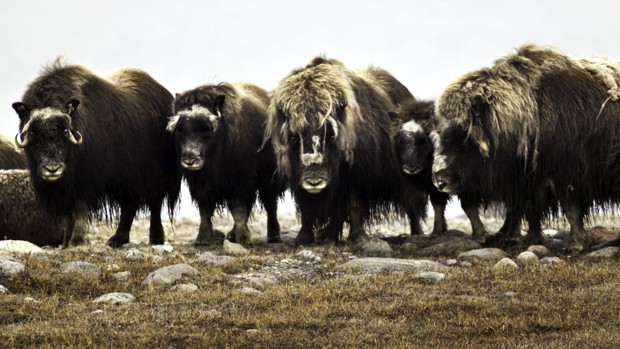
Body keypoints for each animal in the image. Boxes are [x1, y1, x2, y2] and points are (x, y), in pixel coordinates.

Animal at [12, 61, 179, 249]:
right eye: (33, 133)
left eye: (64, 131)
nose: (52, 169)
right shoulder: (68, 186)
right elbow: (69, 214)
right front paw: (65, 242)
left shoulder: (85, 179)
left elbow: (79, 209)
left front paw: (77, 241)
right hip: (128, 181)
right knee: (129, 206)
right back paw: (116, 240)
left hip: (155, 176)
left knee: (154, 203)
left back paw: (155, 238)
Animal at [168, 82, 286, 245]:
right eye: (180, 129)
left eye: (207, 129)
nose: (189, 160)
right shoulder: (201, 184)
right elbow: (204, 211)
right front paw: (201, 240)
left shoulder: (239, 180)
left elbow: (239, 210)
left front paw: (244, 240)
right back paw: (231, 235)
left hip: (268, 179)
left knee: (270, 204)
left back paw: (274, 236)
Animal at [264, 57, 418, 243]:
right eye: (294, 136)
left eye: (331, 135)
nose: (314, 180)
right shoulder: (299, 180)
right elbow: (307, 209)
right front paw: (303, 238)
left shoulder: (355, 176)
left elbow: (353, 204)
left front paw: (358, 237)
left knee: (413, 205)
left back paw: (417, 233)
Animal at [432, 44, 620, 253]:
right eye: (440, 134)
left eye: (464, 138)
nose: (440, 181)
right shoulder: (528, 183)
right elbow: (530, 213)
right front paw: (527, 240)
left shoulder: (565, 176)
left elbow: (571, 210)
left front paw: (575, 245)